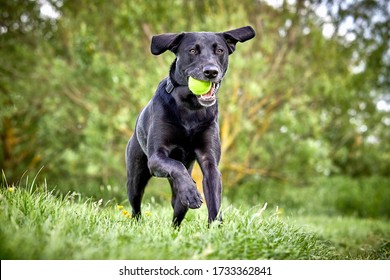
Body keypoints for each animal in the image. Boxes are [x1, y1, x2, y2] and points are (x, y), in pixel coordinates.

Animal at [127, 25, 256, 225]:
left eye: (220, 50)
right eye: (192, 51)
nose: (211, 72)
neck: (191, 107)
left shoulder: (209, 160)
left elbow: (214, 198)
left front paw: (216, 227)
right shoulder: (156, 157)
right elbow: (176, 166)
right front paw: (191, 192)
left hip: (176, 199)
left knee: (177, 211)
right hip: (135, 176)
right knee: (136, 204)